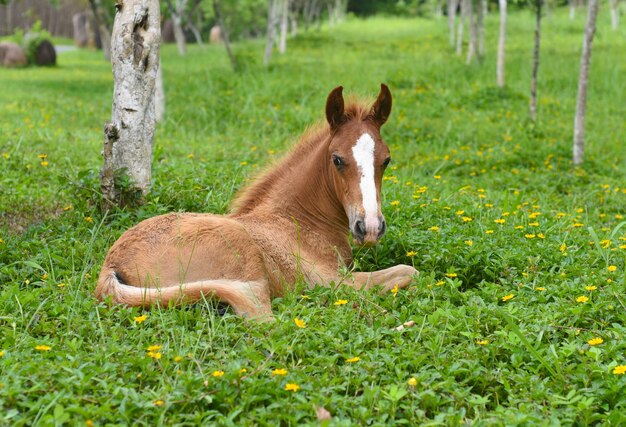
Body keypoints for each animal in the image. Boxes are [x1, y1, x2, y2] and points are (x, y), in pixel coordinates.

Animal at [96, 84, 414, 318]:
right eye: (337, 159)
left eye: (386, 160)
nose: (369, 227)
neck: (299, 223)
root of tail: (111, 265)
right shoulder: (330, 280)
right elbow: (406, 272)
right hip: (245, 263)